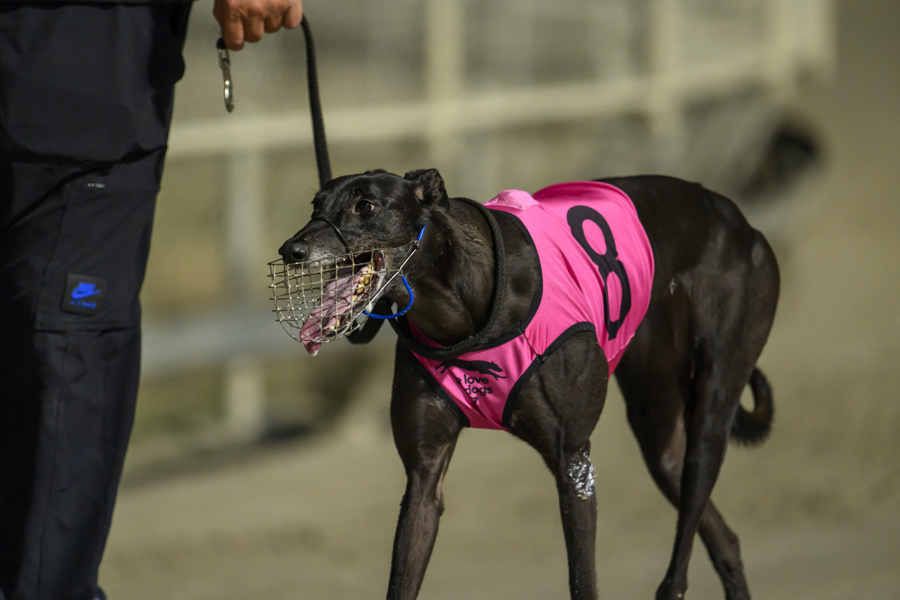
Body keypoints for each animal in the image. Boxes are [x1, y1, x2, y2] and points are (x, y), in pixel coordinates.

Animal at [278, 169, 779, 600]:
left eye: (365, 205)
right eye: (316, 204)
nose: (290, 250)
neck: (461, 313)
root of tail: (740, 221)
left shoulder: (573, 464)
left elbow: (582, 581)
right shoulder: (422, 478)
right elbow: (406, 564)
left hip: (711, 408)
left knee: (681, 557)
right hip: (659, 432)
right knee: (723, 537)